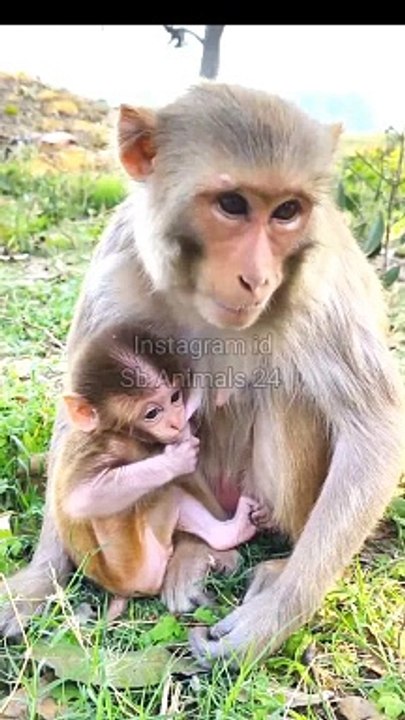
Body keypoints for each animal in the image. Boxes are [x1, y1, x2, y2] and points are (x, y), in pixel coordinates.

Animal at [52, 322, 265, 618]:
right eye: (152, 413)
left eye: (174, 398)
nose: (176, 421)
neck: (120, 433)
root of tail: (121, 589)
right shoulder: (102, 445)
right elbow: (83, 497)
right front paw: (176, 459)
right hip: (140, 562)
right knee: (163, 490)